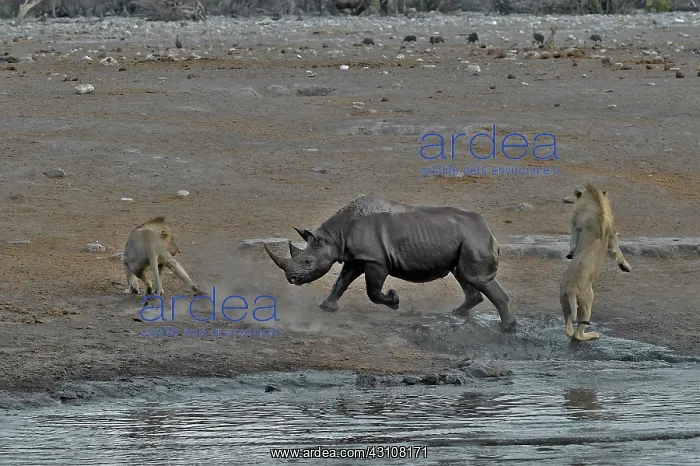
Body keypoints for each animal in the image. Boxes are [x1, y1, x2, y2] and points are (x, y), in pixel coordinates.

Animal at [264, 195, 517, 332]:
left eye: (308, 261)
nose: (291, 278)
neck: (335, 236)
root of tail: (489, 228)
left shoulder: (375, 261)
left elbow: (372, 291)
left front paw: (394, 301)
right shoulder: (357, 259)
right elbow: (341, 282)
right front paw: (326, 307)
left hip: (474, 237)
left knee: (475, 277)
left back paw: (508, 328)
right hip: (465, 239)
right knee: (462, 274)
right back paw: (458, 313)